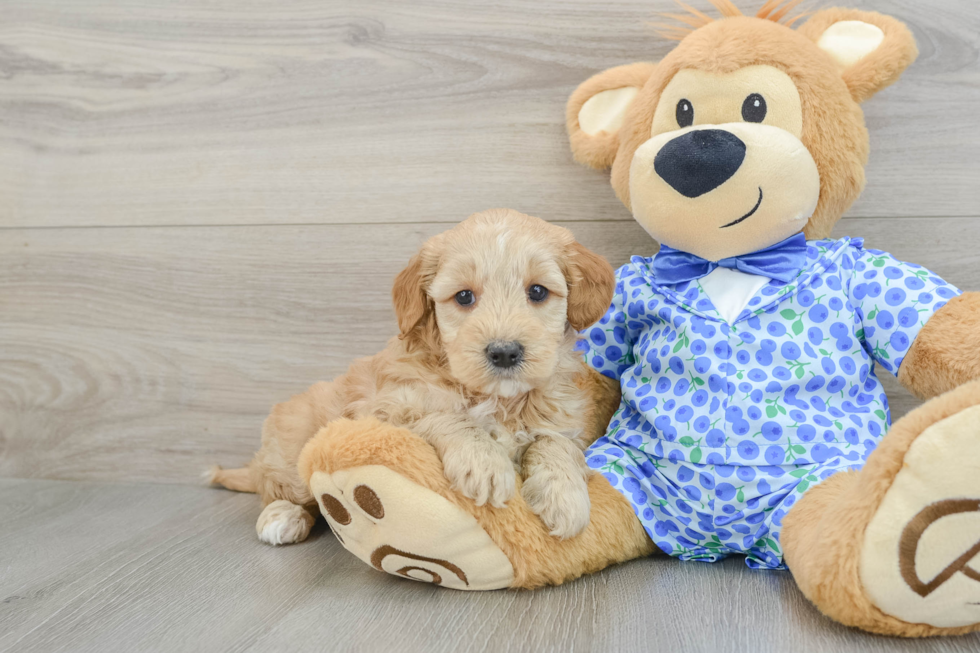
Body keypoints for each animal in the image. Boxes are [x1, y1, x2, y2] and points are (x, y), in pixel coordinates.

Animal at [212, 208, 616, 540]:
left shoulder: (562, 417)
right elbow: (449, 417)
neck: (497, 399)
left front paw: (565, 496)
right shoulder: (387, 410)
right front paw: (484, 462)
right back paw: (282, 516)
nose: (504, 352)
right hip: (292, 445)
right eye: (464, 297)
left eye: (537, 291)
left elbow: (556, 442)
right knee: (276, 487)